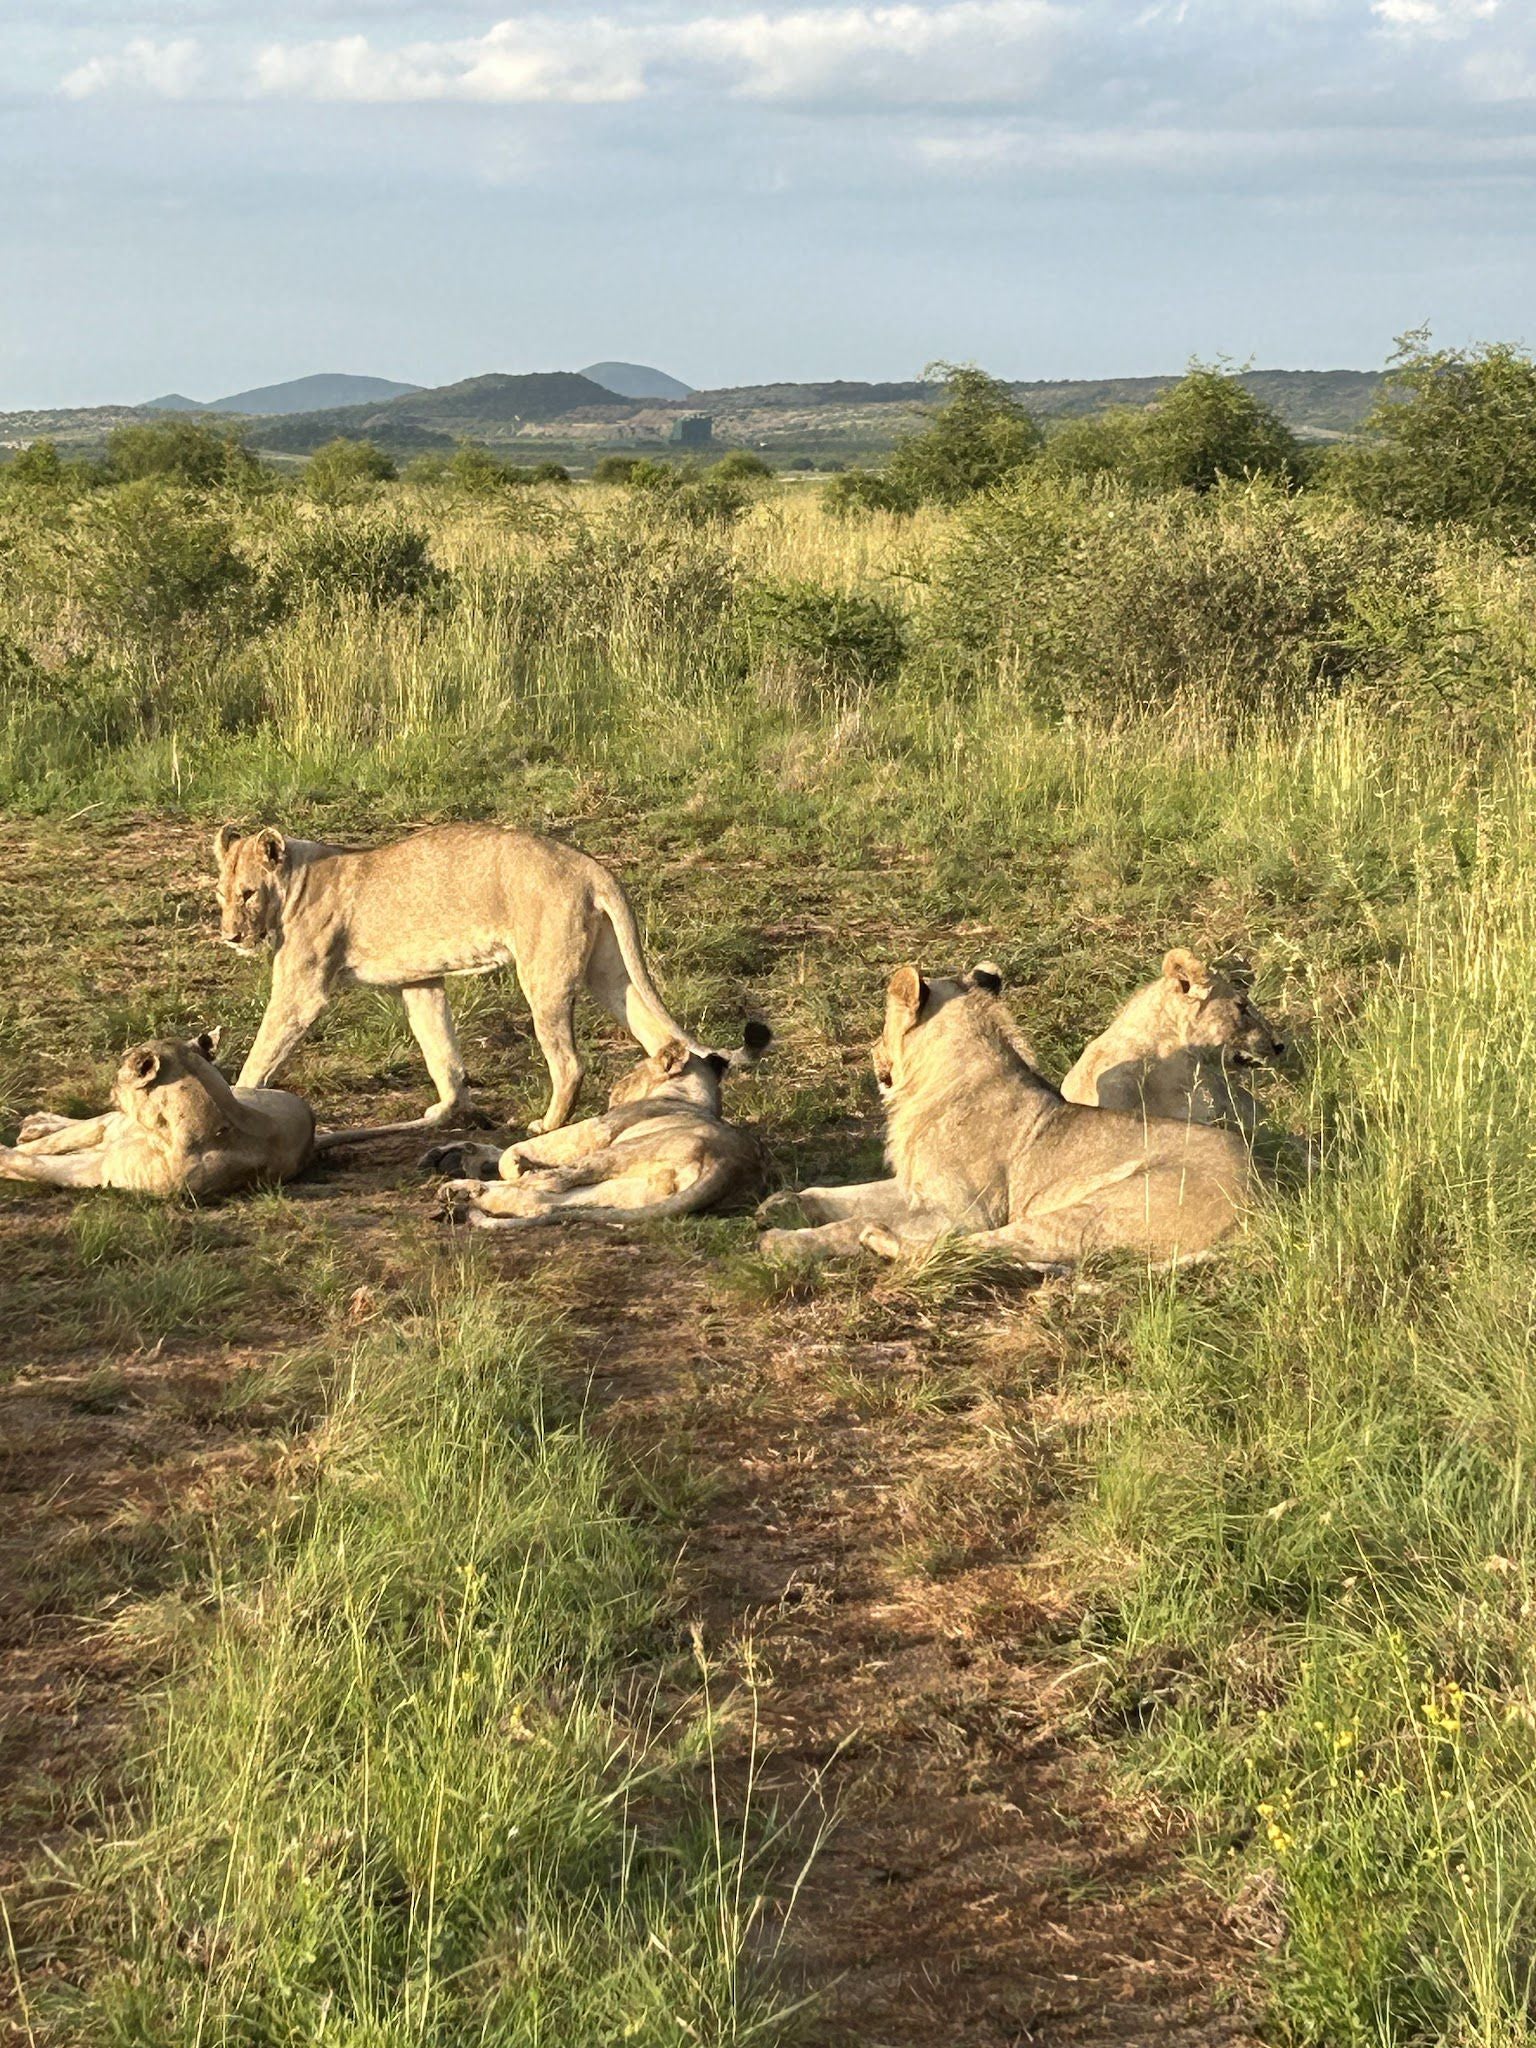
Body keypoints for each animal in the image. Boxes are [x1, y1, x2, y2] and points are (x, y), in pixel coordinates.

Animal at [211, 819, 704, 1146]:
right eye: (220, 895)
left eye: (248, 894)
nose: (230, 936)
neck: (296, 881)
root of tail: (588, 866)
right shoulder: (421, 981)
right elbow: (440, 1051)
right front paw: (449, 1107)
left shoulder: (303, 988)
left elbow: (262, 1052)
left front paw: (241, 1101)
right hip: (608, 971)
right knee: (659, 1037)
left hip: (543, 973)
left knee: (569, 1063)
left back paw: (548, 1125)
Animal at [430, 1015, 770, 1220]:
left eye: (631, 1072)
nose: (612, 1089)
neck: (695, 1097)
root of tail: (731, 1165)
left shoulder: (598, 1128)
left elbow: (523, 1149)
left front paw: (514, 1164)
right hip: (628, 1192)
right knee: (545, 1202)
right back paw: (468, 1194)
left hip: (623, 1150)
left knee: (551, 1181)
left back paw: (475, 1189)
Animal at [761, 958, 1261, 1261]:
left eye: (884, 1022)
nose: (872, 1055)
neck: (935, 1082)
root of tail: (1264, 1198)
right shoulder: (913, 1189)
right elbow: (847, 1193)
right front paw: (781, 1203)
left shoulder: (961, 1213)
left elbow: (857, 1217)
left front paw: (785, 1241)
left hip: (1087, 1212)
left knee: (979, 1248)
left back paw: (880, 1241)